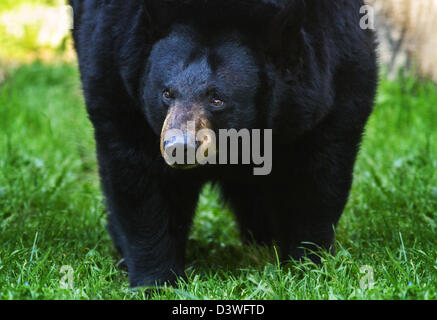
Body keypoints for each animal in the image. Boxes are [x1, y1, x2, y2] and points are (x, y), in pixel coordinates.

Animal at [70, 0, 376, 286]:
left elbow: (317, 175)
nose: (179, 147)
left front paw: (308, 267)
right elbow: (141, 178)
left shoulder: (335, 71)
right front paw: (157, 280)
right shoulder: (114, 67)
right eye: (166, 93)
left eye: (217, 99)